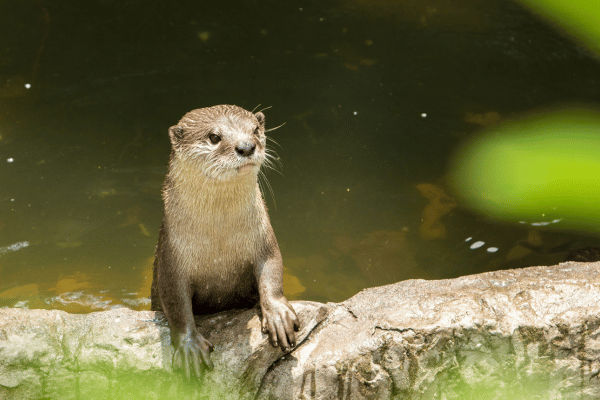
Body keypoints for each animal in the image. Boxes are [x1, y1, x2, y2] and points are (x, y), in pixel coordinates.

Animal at [150, 104, 300, 378]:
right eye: (214, 136)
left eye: (255, 129)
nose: (246, 146)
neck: (219, 246)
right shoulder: (170, 256)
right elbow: (176, 303)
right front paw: (190, 347)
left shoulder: (265, 238)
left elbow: (272, 270)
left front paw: (278, 314)